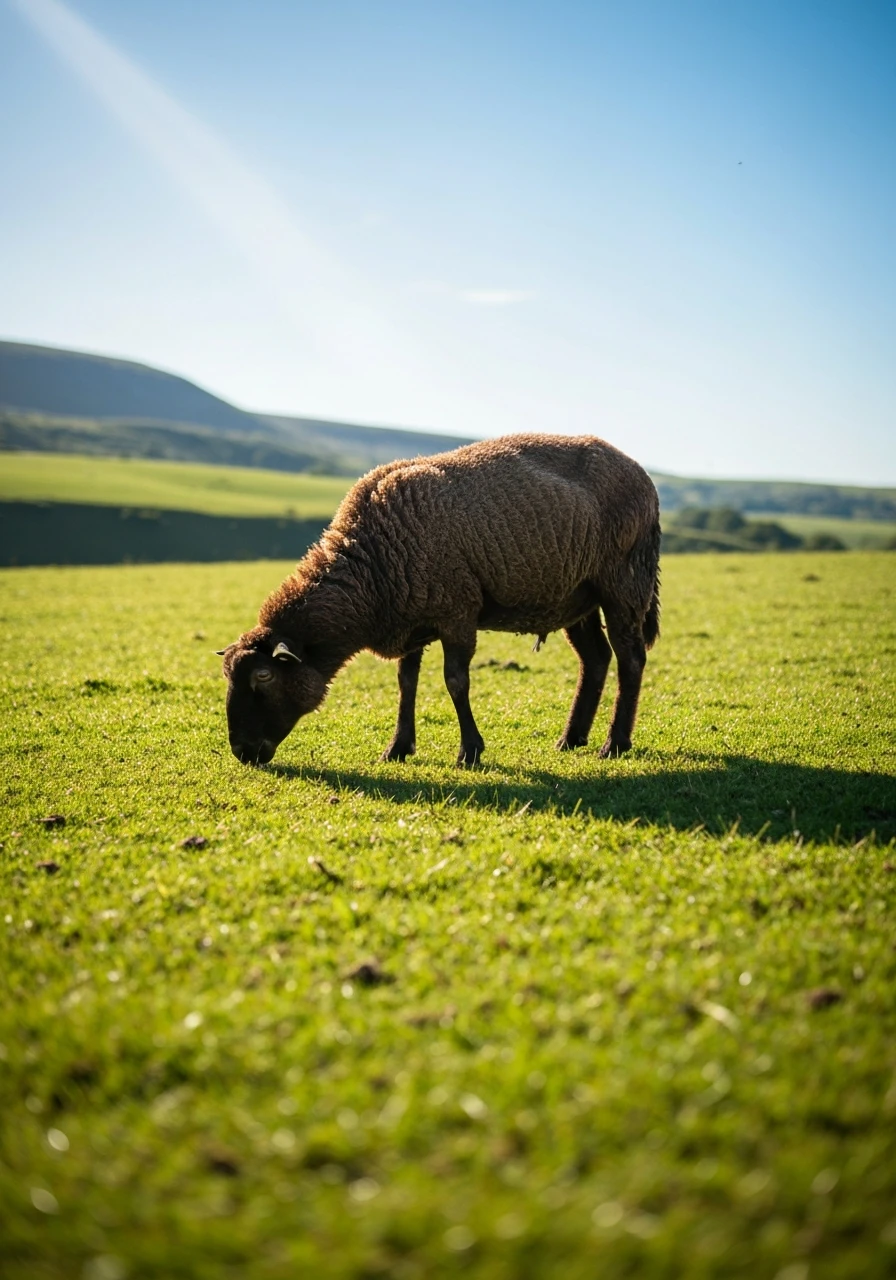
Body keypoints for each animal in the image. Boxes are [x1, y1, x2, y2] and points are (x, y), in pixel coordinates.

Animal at [217, 433, 660, 767]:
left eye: (263, 676)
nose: (241, 751)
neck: (370, 568)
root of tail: (642, 474)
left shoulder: (457, 611)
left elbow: (455, 682)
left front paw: (470, 751)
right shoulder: (410, 618)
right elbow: (406, 682)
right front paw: (397, 748)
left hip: (624, 580)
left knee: (630, 658)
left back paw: (614, 744)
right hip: (576, 595)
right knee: (596, 658)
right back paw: (572, 738)